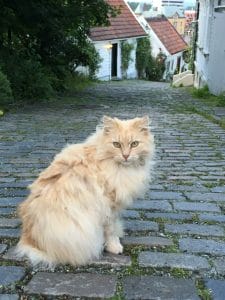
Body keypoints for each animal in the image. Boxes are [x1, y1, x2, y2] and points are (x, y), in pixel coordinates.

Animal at [16, 116, 155, 266]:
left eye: (134, 144)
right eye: (116, 144)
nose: (126, 156)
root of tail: (29, 238)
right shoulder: (109, 207)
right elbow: (110, 230)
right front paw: (114, 246)